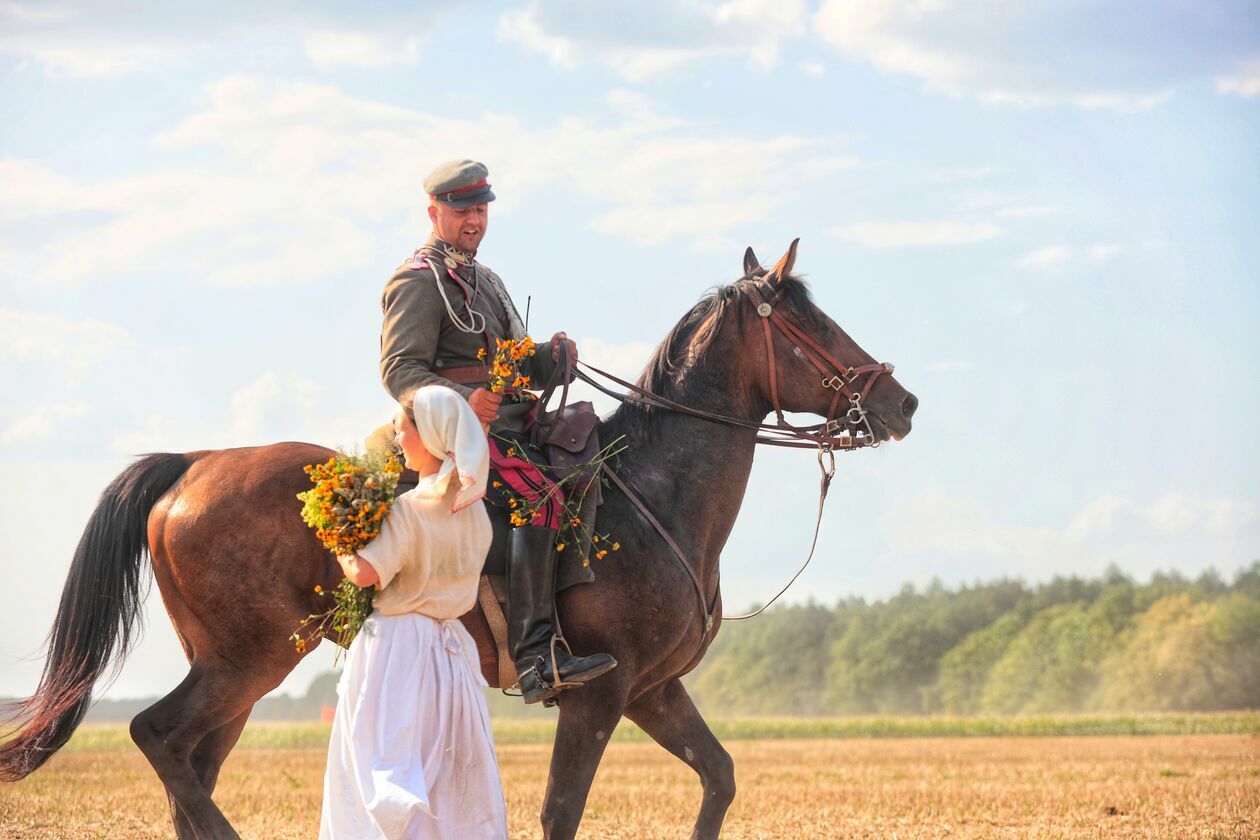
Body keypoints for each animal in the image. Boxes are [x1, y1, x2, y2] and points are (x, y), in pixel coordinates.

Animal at [0, 239, 912, 836]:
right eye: (812, 325)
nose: (900, 402)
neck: (657, 490)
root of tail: (192, 468)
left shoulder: (653, 690)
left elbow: (718, 779)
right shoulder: (601, 692)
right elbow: (560, 811)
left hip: (236, 670)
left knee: (189, 766)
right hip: (246, 661)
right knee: (159, 740)